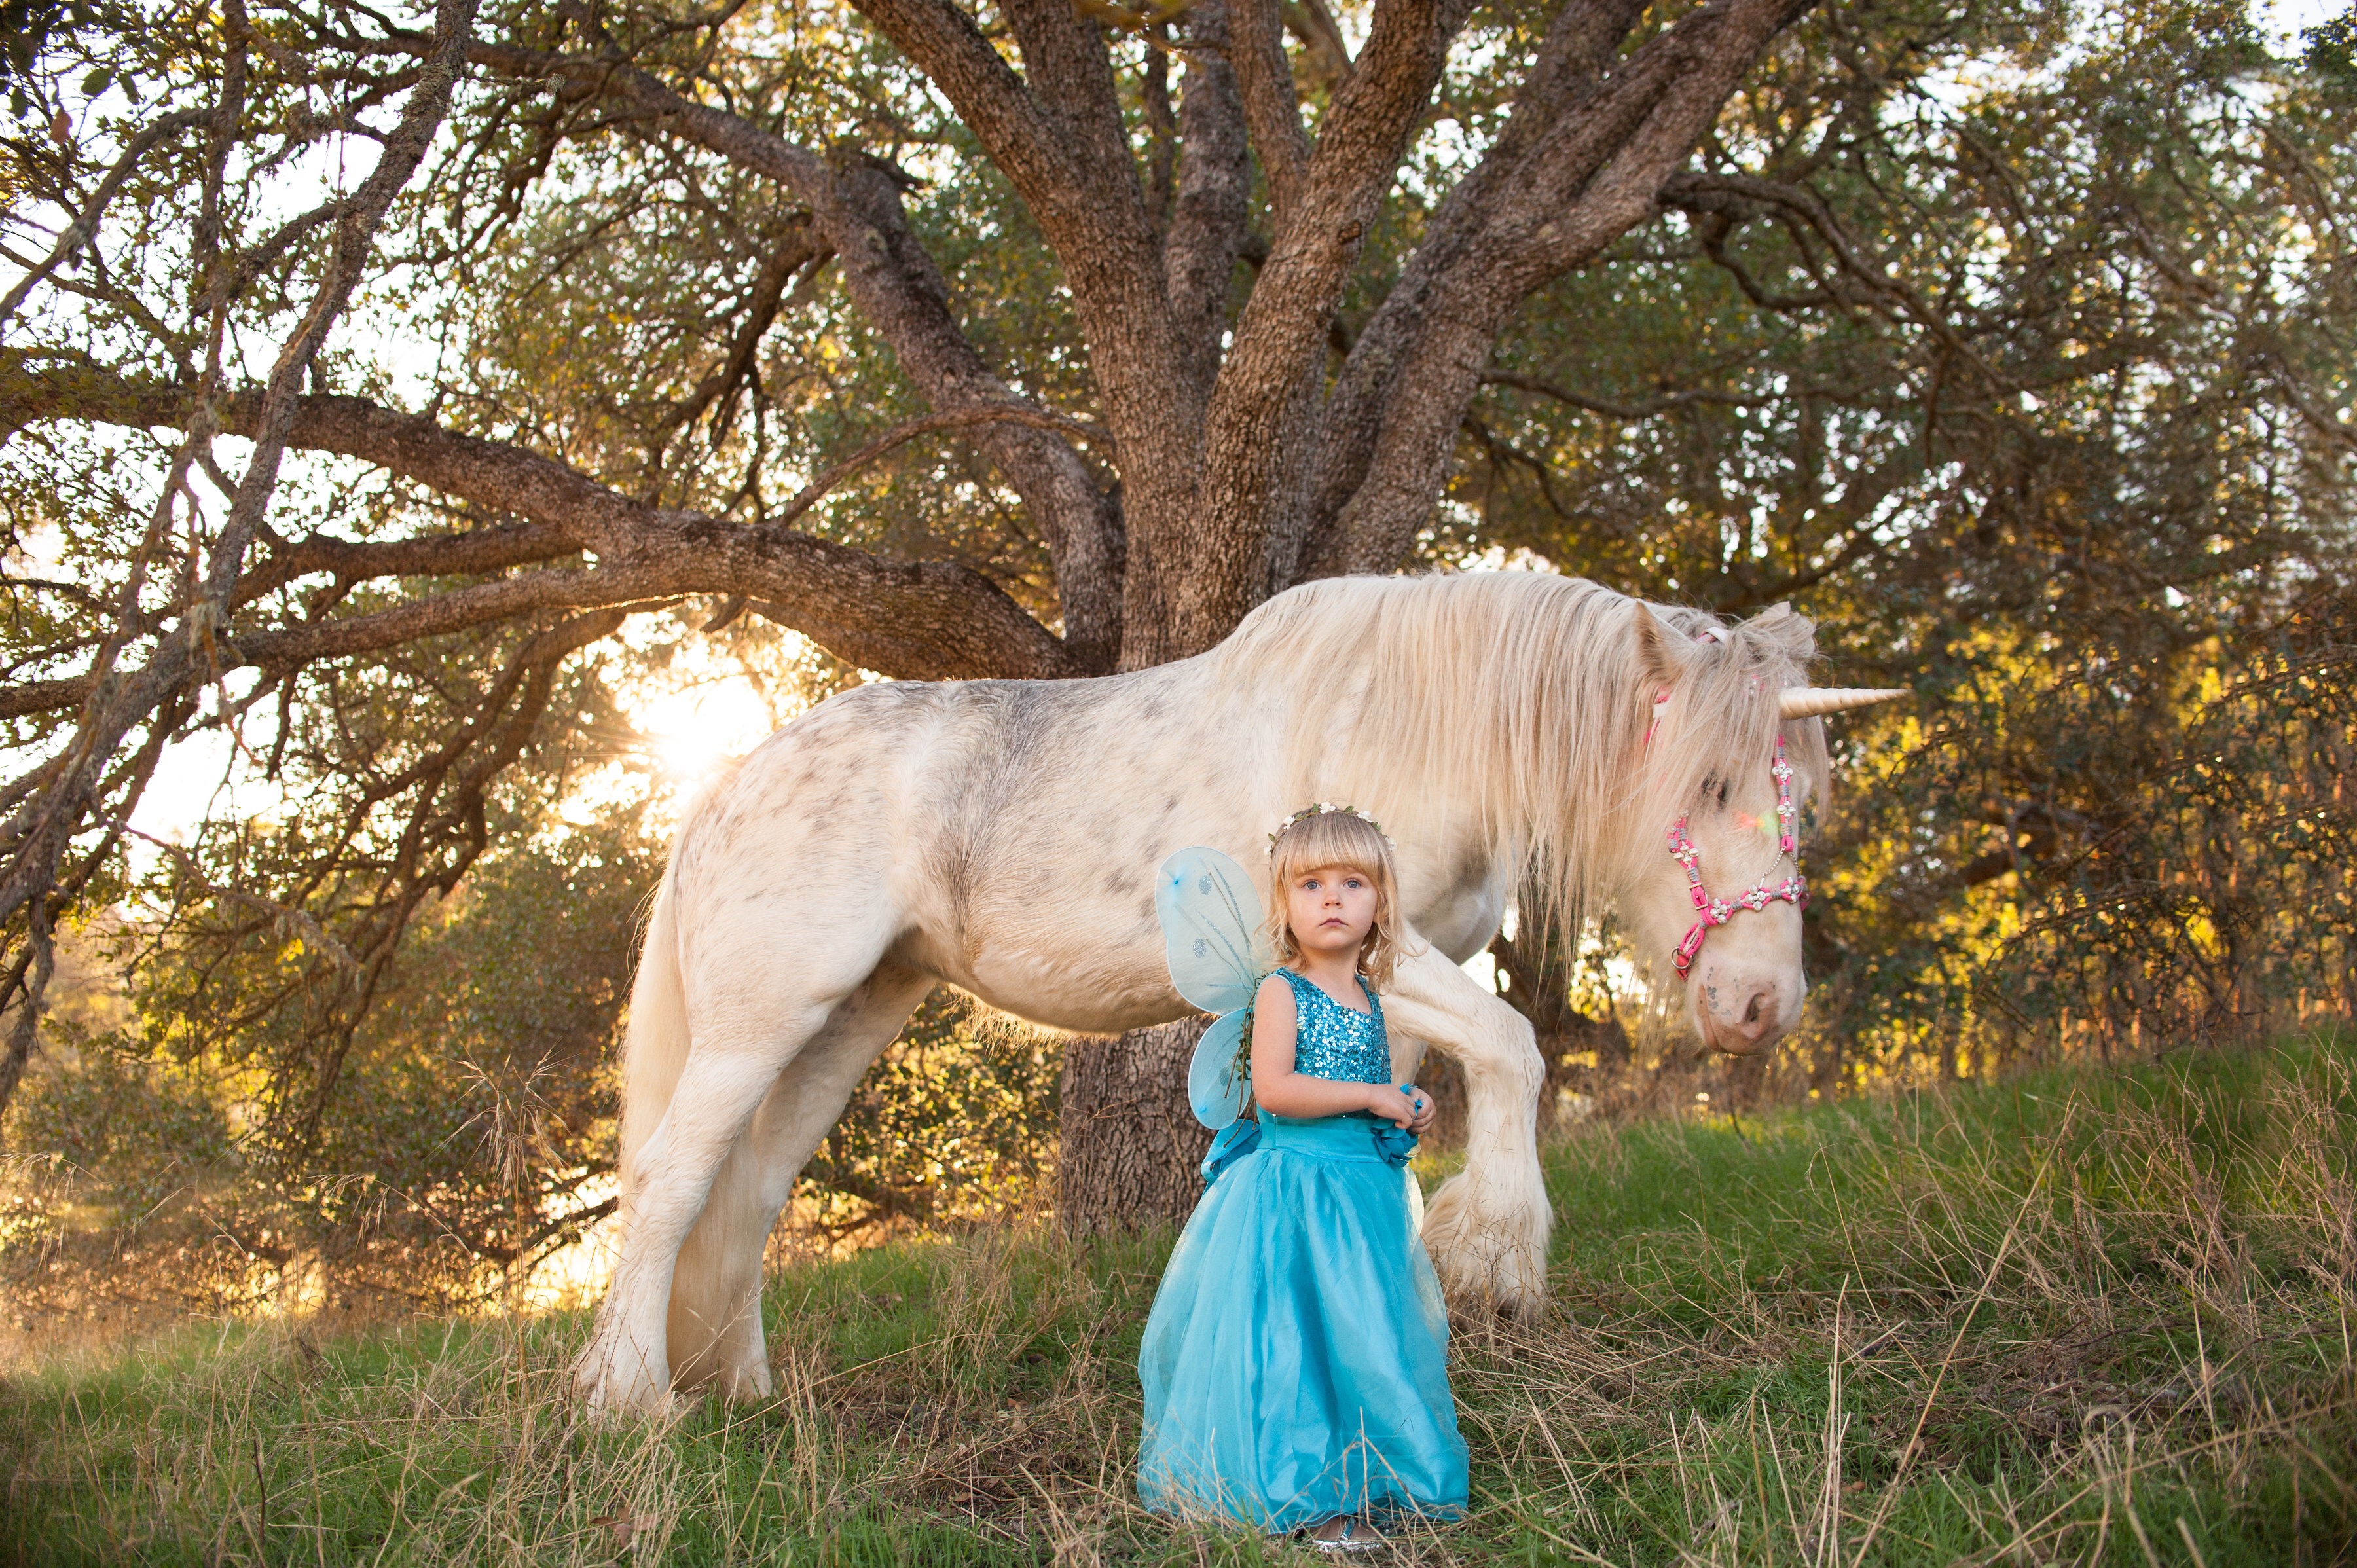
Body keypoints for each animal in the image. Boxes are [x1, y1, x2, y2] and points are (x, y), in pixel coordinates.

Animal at [579, 573, 1904, 1405]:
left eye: (1805, 796)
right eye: (1710, 783)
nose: (1761, 1006)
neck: (1417, 722)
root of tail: (728, 777)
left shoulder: (1396, 996)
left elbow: (1406, 1133)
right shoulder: (1394, 966)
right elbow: (1516, 1049)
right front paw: (1498, 1259)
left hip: (849, 1019)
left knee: (749, 1193)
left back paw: (746, 1391)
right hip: (762, 1024)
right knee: (673, 1182)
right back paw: (630, 1399)